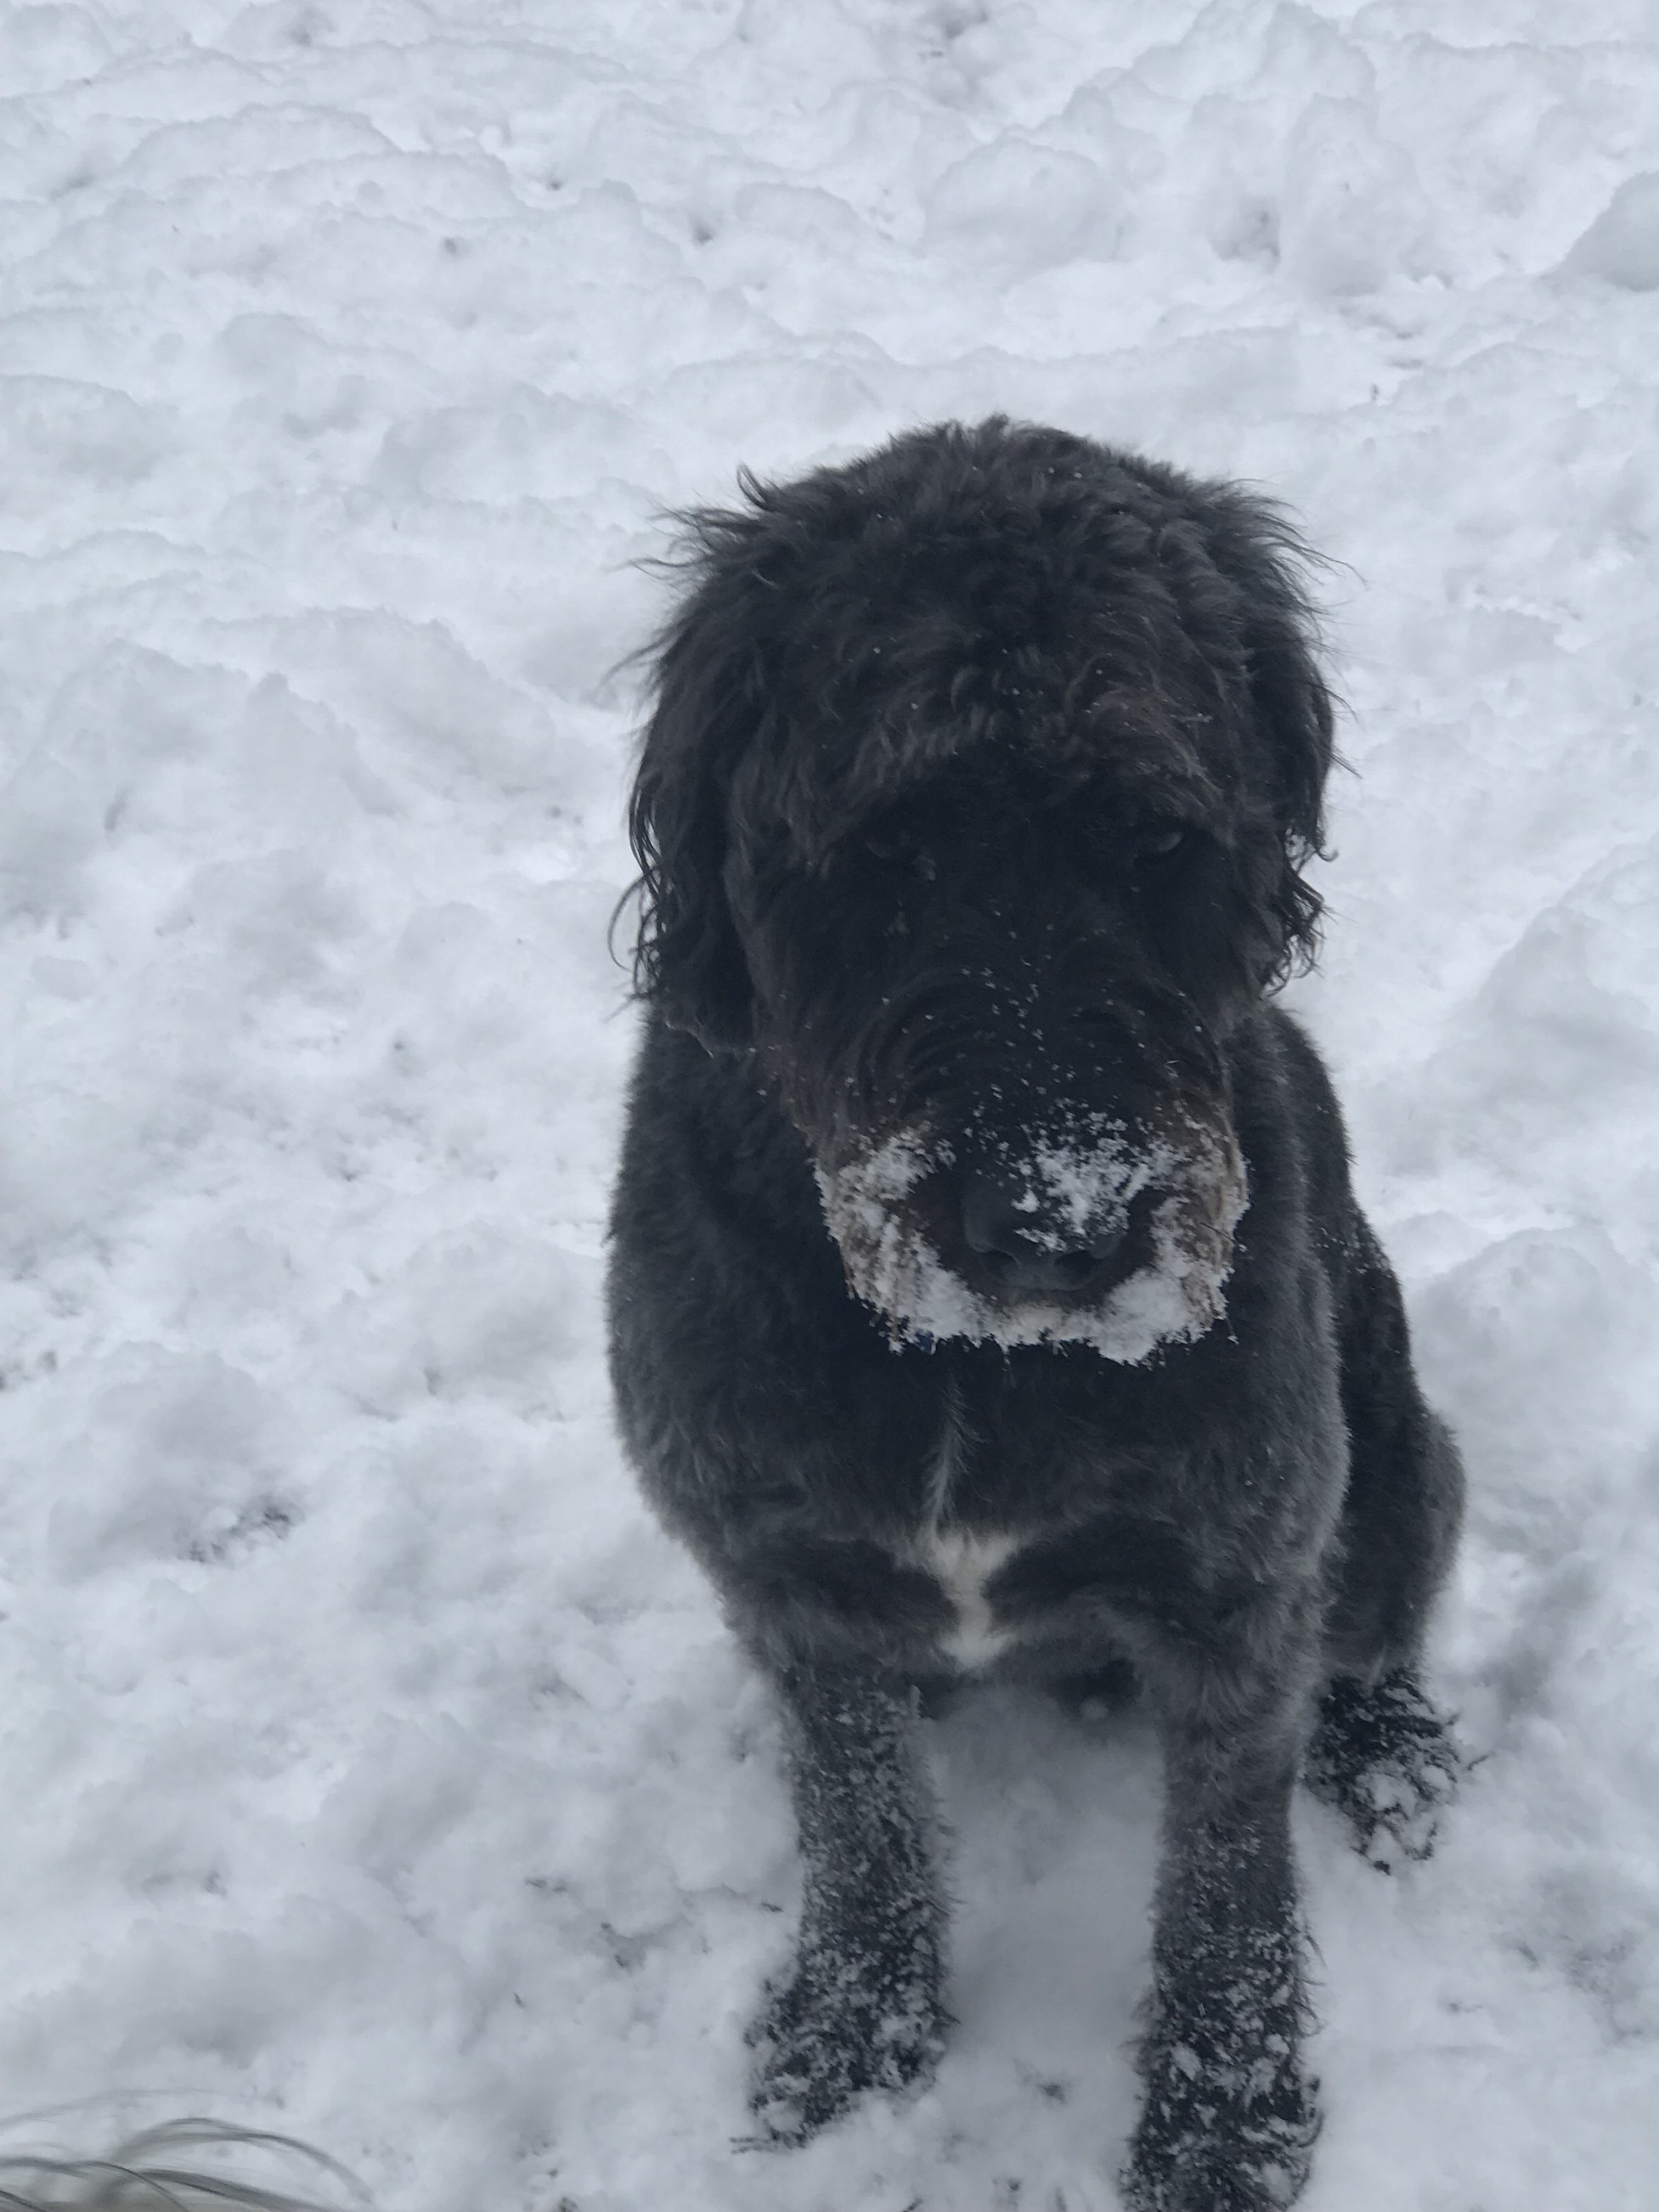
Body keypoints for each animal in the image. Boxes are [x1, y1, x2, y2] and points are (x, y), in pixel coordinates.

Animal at [606, 418, 1464, 2211]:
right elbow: (856, 1818)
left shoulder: (1239, 1591)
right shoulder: (786, 1578)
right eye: (883, 851)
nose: (1065, 1230)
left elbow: (1226, 1879)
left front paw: (1221, 2124)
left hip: (1400, 1465)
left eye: (1157, 840)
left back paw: (1391, 1749)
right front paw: (856, 2031)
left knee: (1381, 1631)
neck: (967, 1365)